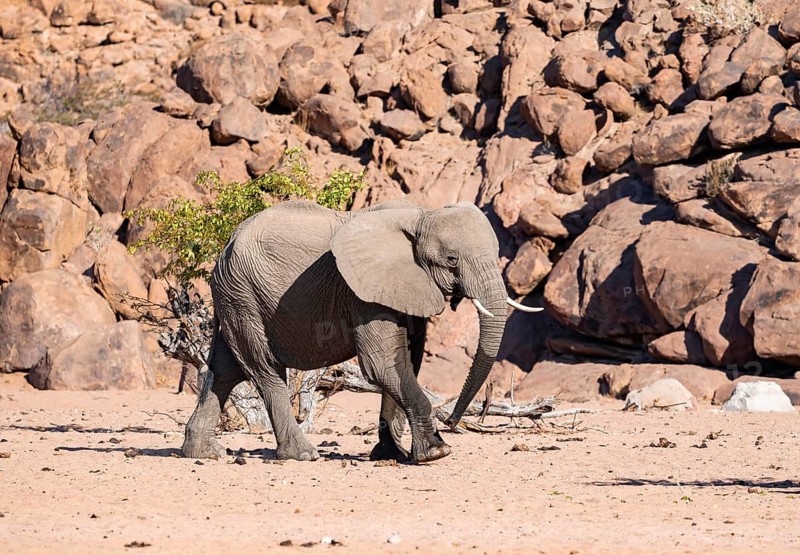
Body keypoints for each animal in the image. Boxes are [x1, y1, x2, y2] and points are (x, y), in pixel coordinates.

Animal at [181, 199, 541, 463]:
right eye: (452, 260)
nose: (452, 422)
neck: (422, 216)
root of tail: (226, 245)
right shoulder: (362, 293)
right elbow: (382, 365)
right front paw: (437, 453)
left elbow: (406, 361)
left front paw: (392, 454)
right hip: (243, 296)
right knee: (265, 369)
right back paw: (303, 455)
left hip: (235, 297)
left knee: (225, 369)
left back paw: (204, 453)